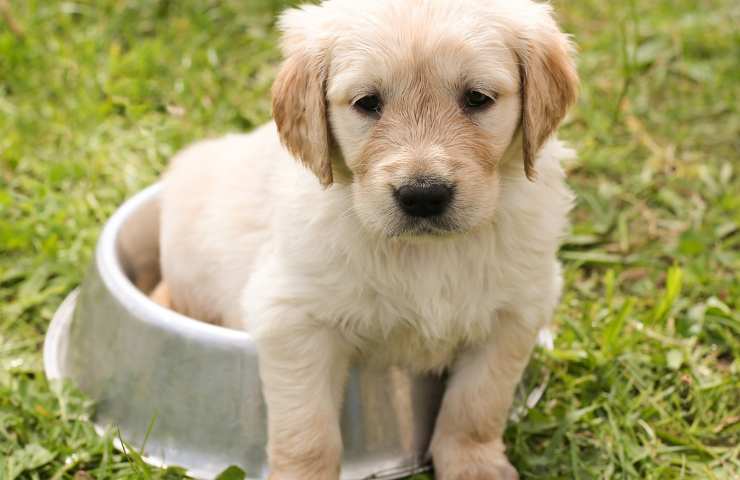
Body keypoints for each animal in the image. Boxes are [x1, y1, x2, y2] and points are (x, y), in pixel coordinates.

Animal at [160, 0, 580, 478]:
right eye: (367, 103)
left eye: (477, 98)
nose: (423, 195)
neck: (427, 253)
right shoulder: (293, 318)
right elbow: (307, 432)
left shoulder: (515, 312)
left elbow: (476, 405)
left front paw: (474, 465)